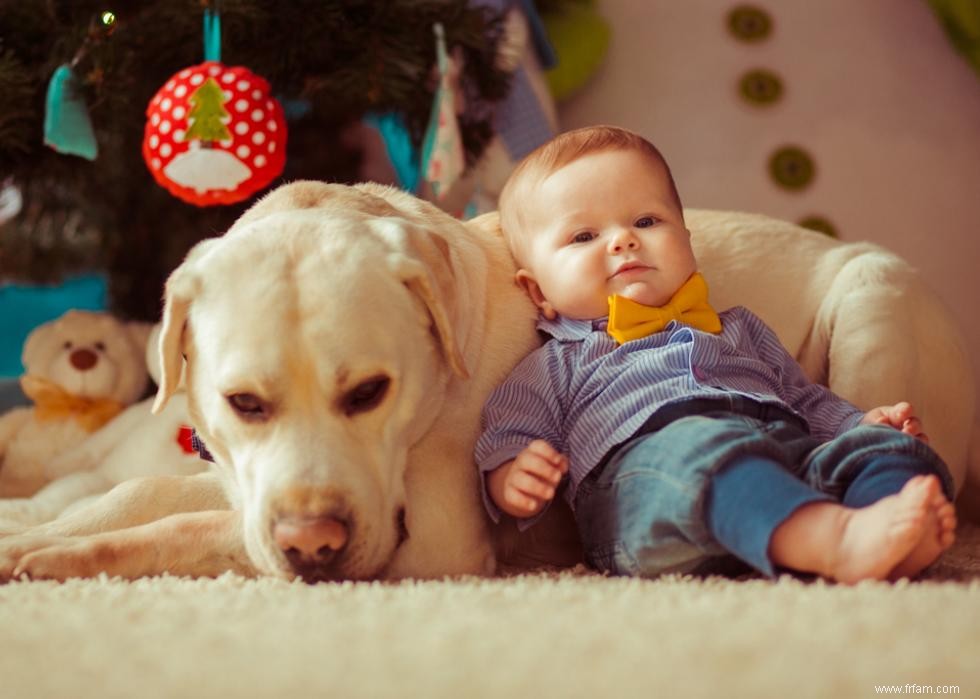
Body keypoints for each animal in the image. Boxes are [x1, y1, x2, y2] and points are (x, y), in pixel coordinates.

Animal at [0, 183, 544, 584]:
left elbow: (182, 527)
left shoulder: (435, 537)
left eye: (369, 392)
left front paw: (65, 553)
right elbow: (143, 491)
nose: (312, 544)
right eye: (243, 402)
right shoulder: (243, 483)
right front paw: (33, 535)